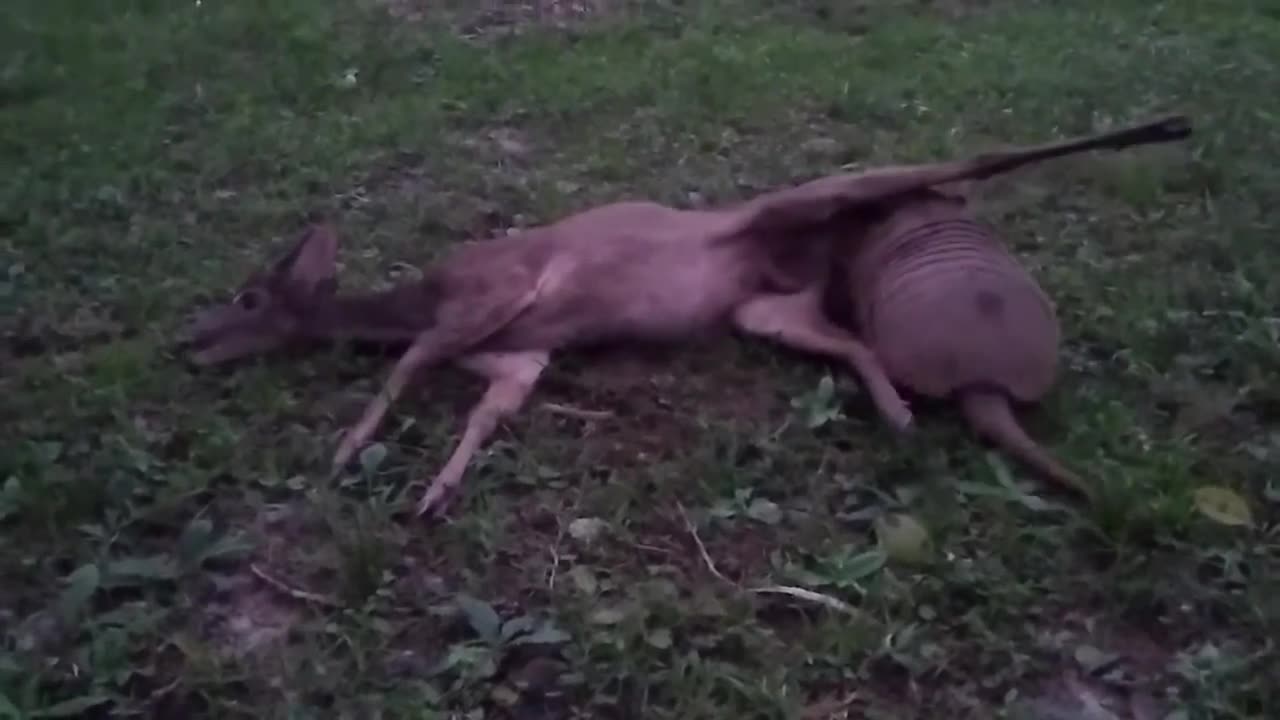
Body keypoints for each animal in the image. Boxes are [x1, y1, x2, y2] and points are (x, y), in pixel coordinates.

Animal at [185, 126, 1182, 512]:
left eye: (247, 298)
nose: (186, 341)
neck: (417, 298)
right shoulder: (520, 354)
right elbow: (483, 406)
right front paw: (436, 492)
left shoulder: (495, 291)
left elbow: (405, 369)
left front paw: (348, 451)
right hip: (760, 309)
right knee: (849, 335)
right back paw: (898, 415)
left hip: (811, 198)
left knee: (962, 159)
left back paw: (1166, 127)